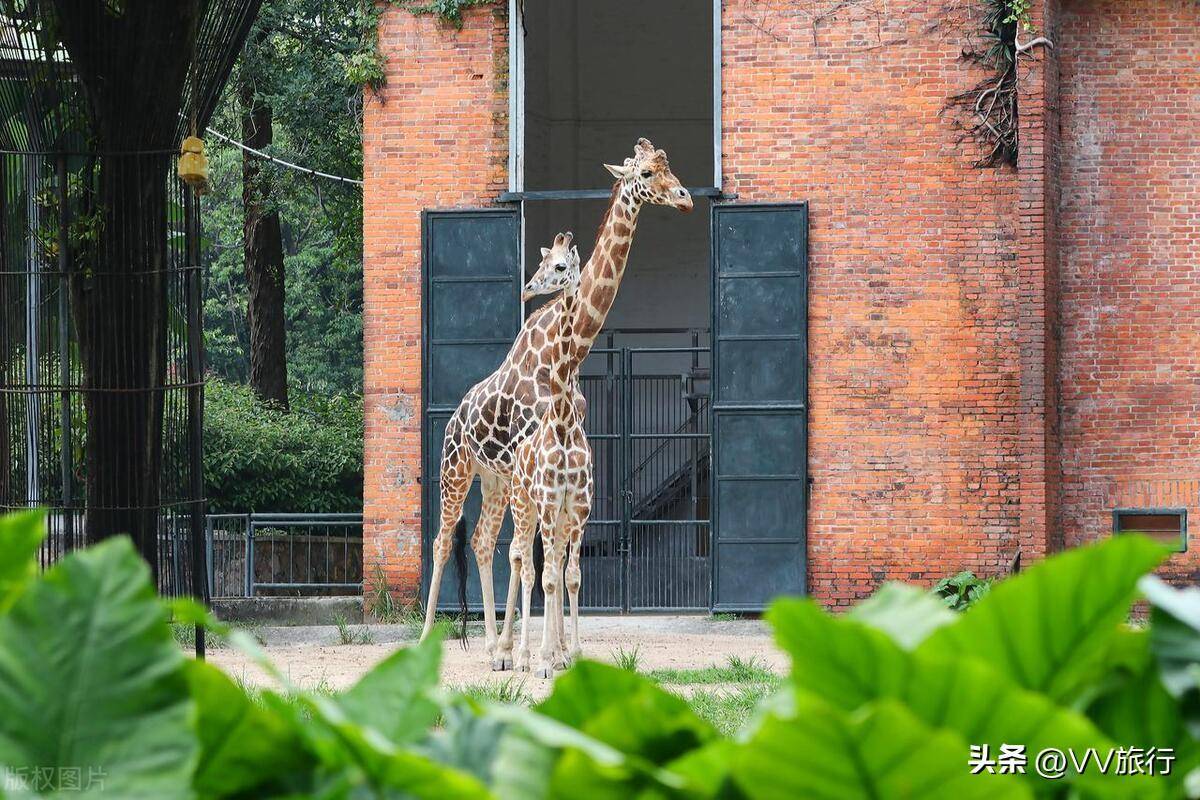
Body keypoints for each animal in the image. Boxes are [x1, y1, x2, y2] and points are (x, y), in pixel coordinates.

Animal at [420, 137, 696, 671]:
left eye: (669, 166)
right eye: (647, 173)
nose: (686, 197)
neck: (568, 351)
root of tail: (455, 418)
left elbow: (550, 560)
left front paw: (550, 650)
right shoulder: (533, 463)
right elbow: (531, 559)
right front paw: (538, 652)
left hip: (494, 478)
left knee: (483, 542)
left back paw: (494, 645)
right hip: (457, 470)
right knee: (448, 541)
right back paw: (430, 642)